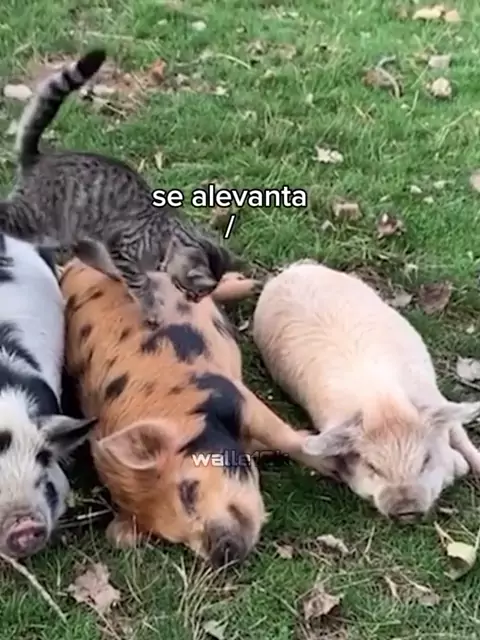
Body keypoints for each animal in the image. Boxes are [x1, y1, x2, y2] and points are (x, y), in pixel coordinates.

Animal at [0, 48, 241, 325]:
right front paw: (151, 309)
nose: (196, 300)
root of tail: (38, 157)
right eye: (198, 291)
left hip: (75, 231)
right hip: (37, 220)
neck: (166, 241)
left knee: (86, 253)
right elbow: (140, 284)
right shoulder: (124, 249)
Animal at [60, 254, 306, 566]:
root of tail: (72, 264)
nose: (221, 551)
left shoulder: (232, 394)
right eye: (171, 537)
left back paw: (252, 283)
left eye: (188, 491)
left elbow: (284, 436)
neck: (180, 411)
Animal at [252, 260, 480, 521]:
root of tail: (291, 270)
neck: (382, 401)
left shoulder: (433, 396)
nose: (406, 509)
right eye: (372, 466)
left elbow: (459, 434)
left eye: (425, 460)